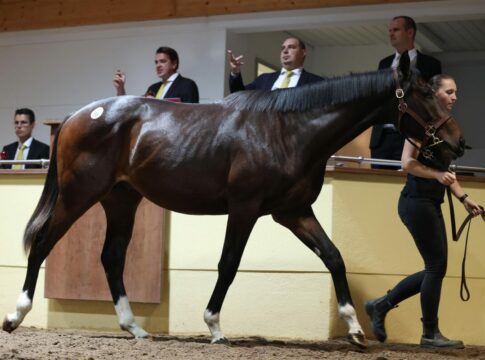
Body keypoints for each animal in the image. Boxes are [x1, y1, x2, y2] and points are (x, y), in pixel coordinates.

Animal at [4, 55, 466, 346]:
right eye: (425, 93)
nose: (458, 143)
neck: (288, 131)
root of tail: (77, 116)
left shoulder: (293, 212)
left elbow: (334, 257)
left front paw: (354, 329)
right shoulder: (245, 209)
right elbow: (229, 264)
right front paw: (214, 327)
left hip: (122, 201)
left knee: (112, 257)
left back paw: (134, 328)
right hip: (80, 194)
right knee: (43, 242)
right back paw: (15, 316)